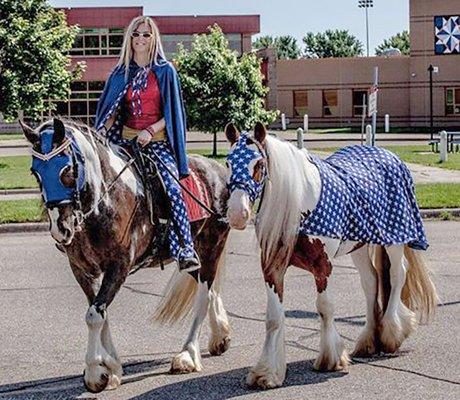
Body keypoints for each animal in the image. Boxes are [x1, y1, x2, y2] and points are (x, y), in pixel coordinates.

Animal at [20, 119, 230, 394]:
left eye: (68, 169)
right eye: (35, 172)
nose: (60, 228)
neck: (104, 201)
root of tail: (218, 170)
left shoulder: (118, 266)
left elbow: (94, 315)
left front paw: (95, 372)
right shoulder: (82, 270)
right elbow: (99, 312)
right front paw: (110, 369)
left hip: (211, 245)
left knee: (204, 294)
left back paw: (187, 354)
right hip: (198, 255)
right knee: (212, 289)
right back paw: (220, 337)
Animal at [226, 123, 438, 390]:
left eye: (259, 164)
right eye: (228, 163)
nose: (237, 214)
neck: (300, 203)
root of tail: (389, 155)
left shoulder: (322, 266)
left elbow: (324, 308)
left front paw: (330, 358)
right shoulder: (272, 268)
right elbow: (273, 317)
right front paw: (267, 373)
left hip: (395, 239)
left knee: (397, 274)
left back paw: (391, 333)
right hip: (360, 244)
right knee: (371, 282)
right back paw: (368, 342)